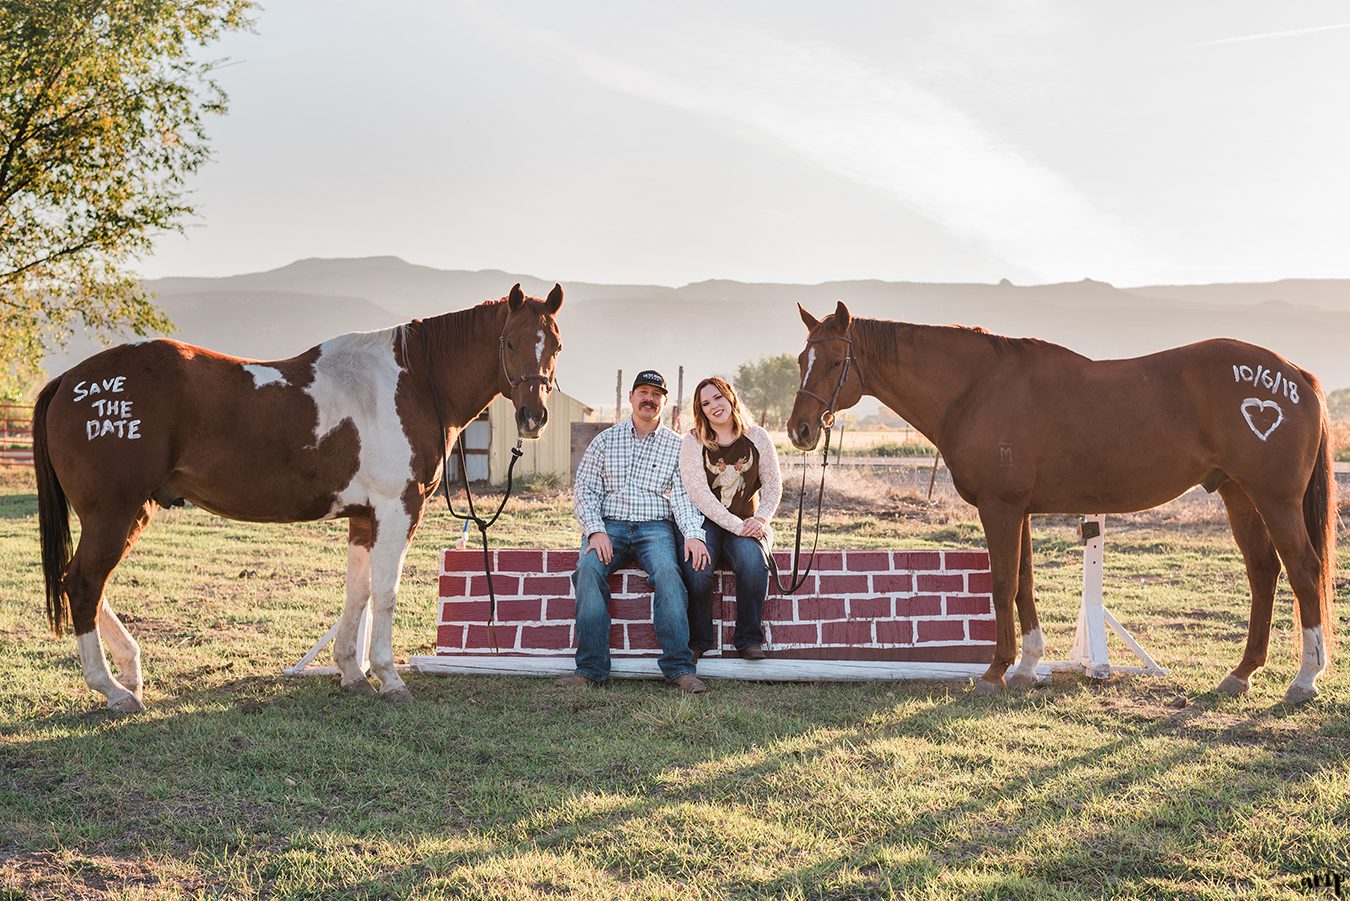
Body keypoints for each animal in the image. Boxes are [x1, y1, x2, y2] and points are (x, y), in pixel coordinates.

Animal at [36, 283, 564, 713]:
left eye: (555, 344)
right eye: (510, 342)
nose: (534, 417)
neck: (411, 381)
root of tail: (69, 381)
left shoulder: (364, 518)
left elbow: (358, 591)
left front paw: (352, 673)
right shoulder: (397, 510)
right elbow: (386, 592)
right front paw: (389, 677)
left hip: (129, 512)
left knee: (87, 584)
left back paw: (129, 672)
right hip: (113, 512)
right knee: (83, 583)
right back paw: (112, 690)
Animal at [788, 302, 1333, 702]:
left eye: (834, 362)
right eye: (800, 361)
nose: (801, 430)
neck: (978, 388)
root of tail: (1297, 375)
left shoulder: (1000, 508)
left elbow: (1003, 583)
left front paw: (995, 671)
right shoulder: (1017, 510)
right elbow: (1024, 584)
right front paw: (1027, 666)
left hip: (1275, 499)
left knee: (1303, 570)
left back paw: (1304, 679)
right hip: (1239, 494)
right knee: (1264, 572)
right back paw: (1241, 674)